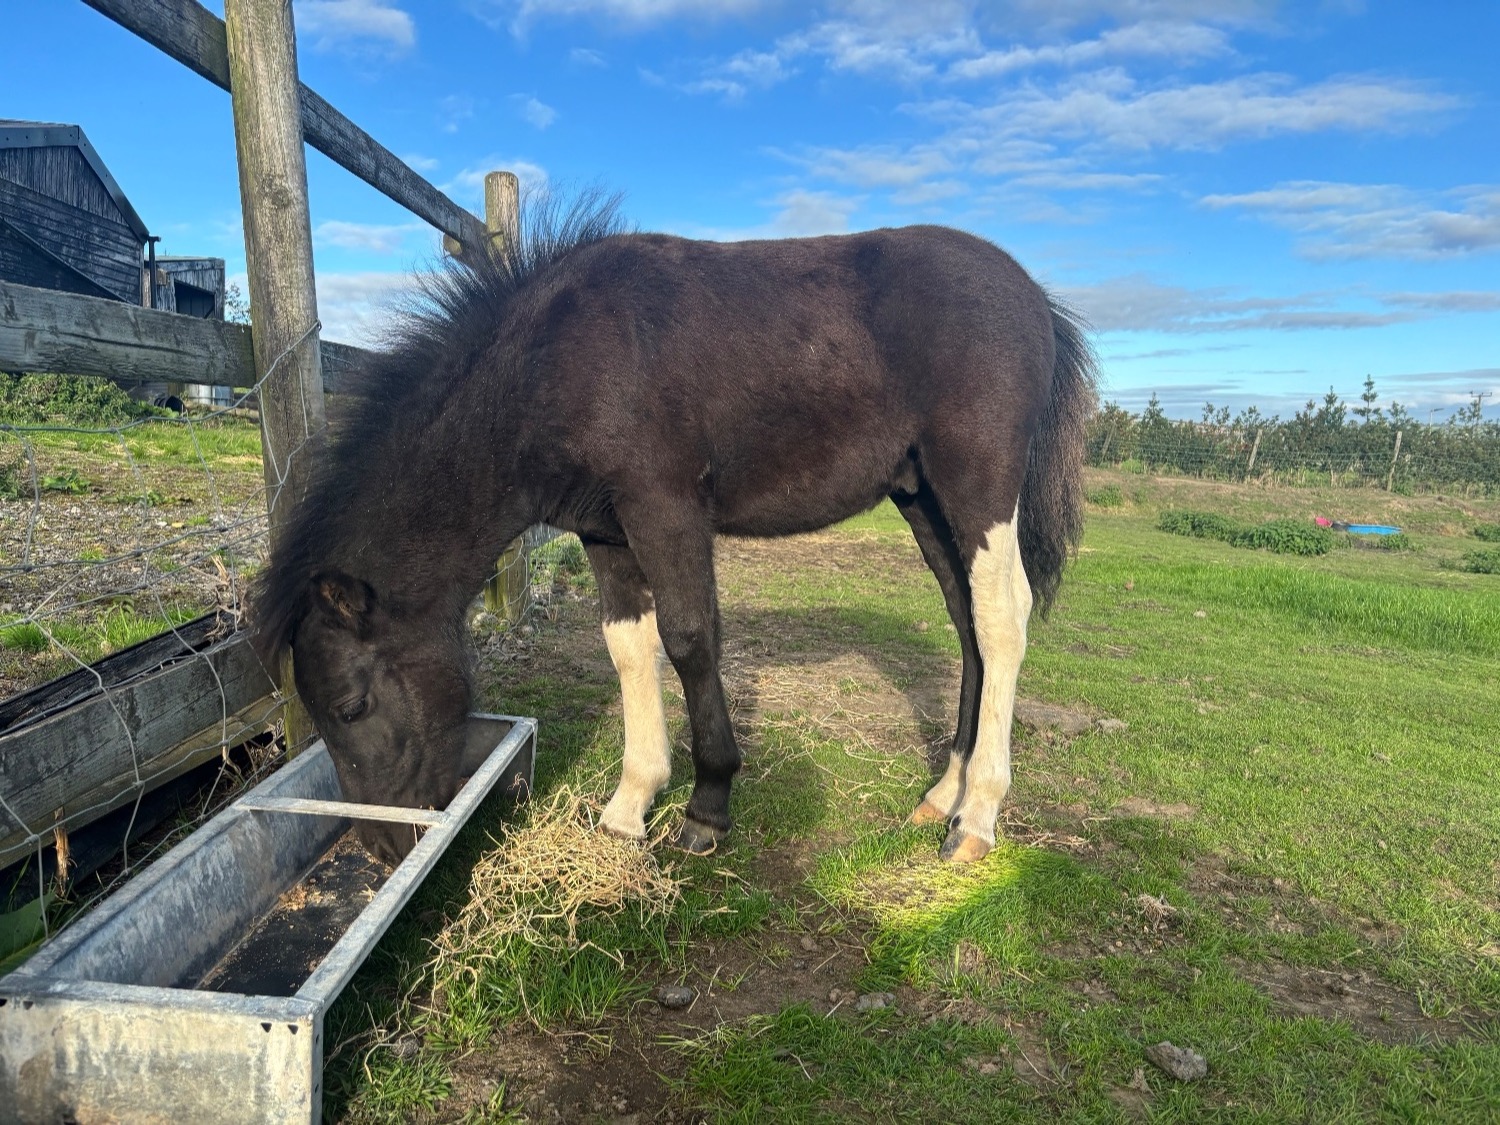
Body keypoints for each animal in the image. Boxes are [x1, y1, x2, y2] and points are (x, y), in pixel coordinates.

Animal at [250, 197, 1097, 866]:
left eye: (351, 708)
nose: (383, 845)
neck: (561, 361)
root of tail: (1034, 298)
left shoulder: (665, 507)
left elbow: (690, 638)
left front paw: (707, 806)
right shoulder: (606, 532)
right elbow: (630, 646)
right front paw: (630, 803)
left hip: (978, 484)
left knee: (1002, 618)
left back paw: (977, 815)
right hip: (921, 497)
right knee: (966, 620)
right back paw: (942, 792)